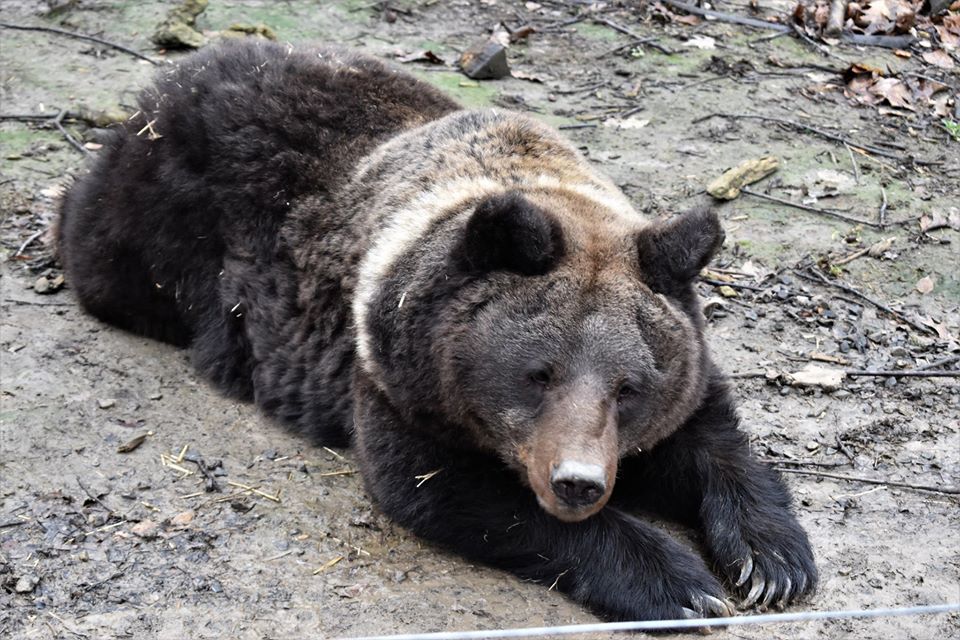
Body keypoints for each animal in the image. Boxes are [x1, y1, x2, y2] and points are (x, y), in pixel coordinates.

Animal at [56, 38, 812, 620]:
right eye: (538, 373)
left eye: (627, 387)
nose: (578, 483)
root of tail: (174, 79)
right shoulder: (394, 375)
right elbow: (443, 489)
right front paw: (679, 583)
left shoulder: (678, 362)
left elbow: (711, 439)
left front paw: (772, 560)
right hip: (156, 228)